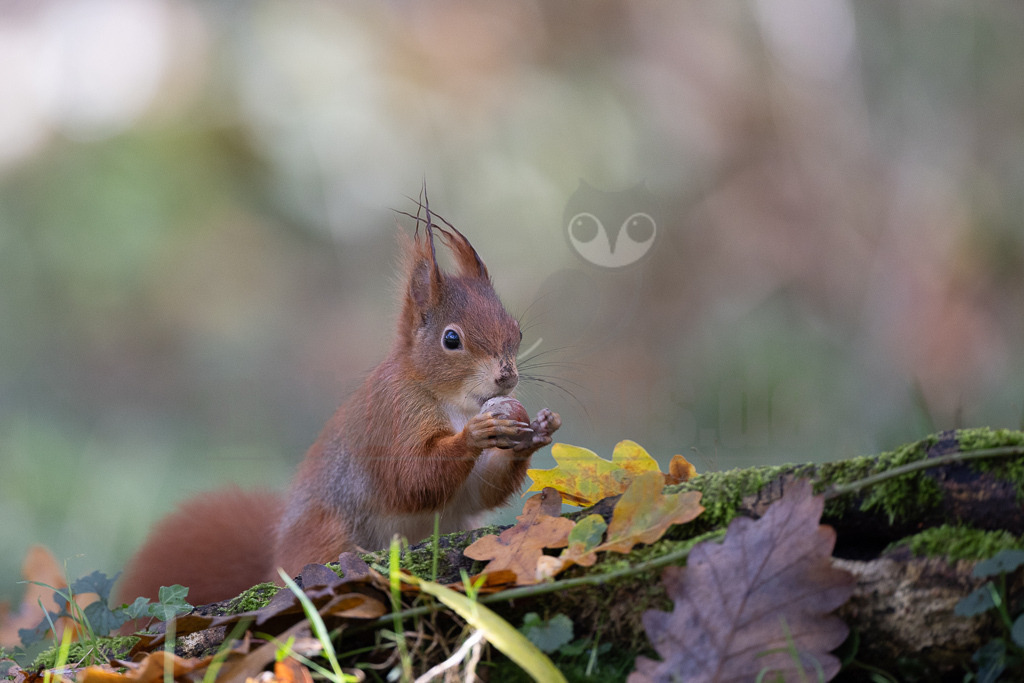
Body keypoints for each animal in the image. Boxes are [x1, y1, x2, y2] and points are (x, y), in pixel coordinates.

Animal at [116, 206, 560, 607]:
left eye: (517, 331)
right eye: (451, 340)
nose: (506, 377)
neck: (455, 403)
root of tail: (275, 561)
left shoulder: (469, 492)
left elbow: (481, 491)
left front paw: (539, 430)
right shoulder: (392, 416)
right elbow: (411, 479)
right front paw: (476, 433)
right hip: (328, 533)